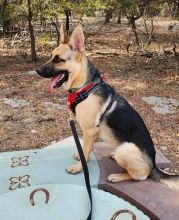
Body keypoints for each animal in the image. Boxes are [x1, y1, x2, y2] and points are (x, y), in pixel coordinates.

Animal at [36, 23, 179, 189]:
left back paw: (117, 176)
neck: (85, 88)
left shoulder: (89, 131)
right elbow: (87, 150)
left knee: (141, 176)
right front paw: (82, 158)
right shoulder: (92, 132)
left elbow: (85, 150)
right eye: (51, 56)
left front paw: (78, 167)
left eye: (59, 59)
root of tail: (154, 164)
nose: (37, 70)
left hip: (124, 150)